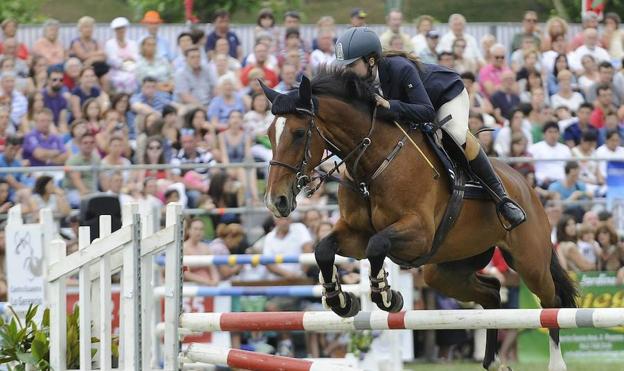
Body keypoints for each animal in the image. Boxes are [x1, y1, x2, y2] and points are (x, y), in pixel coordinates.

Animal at [260, 70, 576, 371]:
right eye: (270, 134)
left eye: (299, 133)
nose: (277, 201)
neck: (374, 161)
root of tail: (525, 185)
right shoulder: (355, 234)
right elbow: (324, 249)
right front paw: (341, 300)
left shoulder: (418, 234)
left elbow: (378, 245)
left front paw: (386, 295)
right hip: (445, 270)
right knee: (491, 294)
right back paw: (494, 362)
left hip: (530, 262)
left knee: (552, 303)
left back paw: (556, 364)